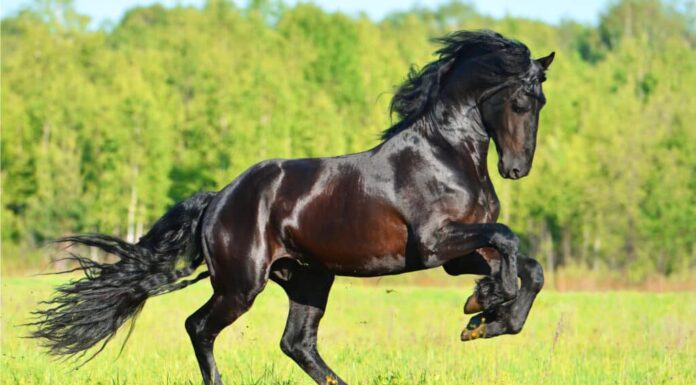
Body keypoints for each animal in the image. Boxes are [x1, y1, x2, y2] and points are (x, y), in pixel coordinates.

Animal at [31, 30, 556, 384]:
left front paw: (486, 318)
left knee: (296, 343)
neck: (445, 154)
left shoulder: (456, 254)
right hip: (242, 285)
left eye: (541, 102)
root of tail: (217, 200)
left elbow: (528, 267)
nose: (516, 168)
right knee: (199, 327)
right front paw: (484, 303)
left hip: (307, 279)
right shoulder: (434, 245)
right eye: (520, 102)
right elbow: (508, 241)